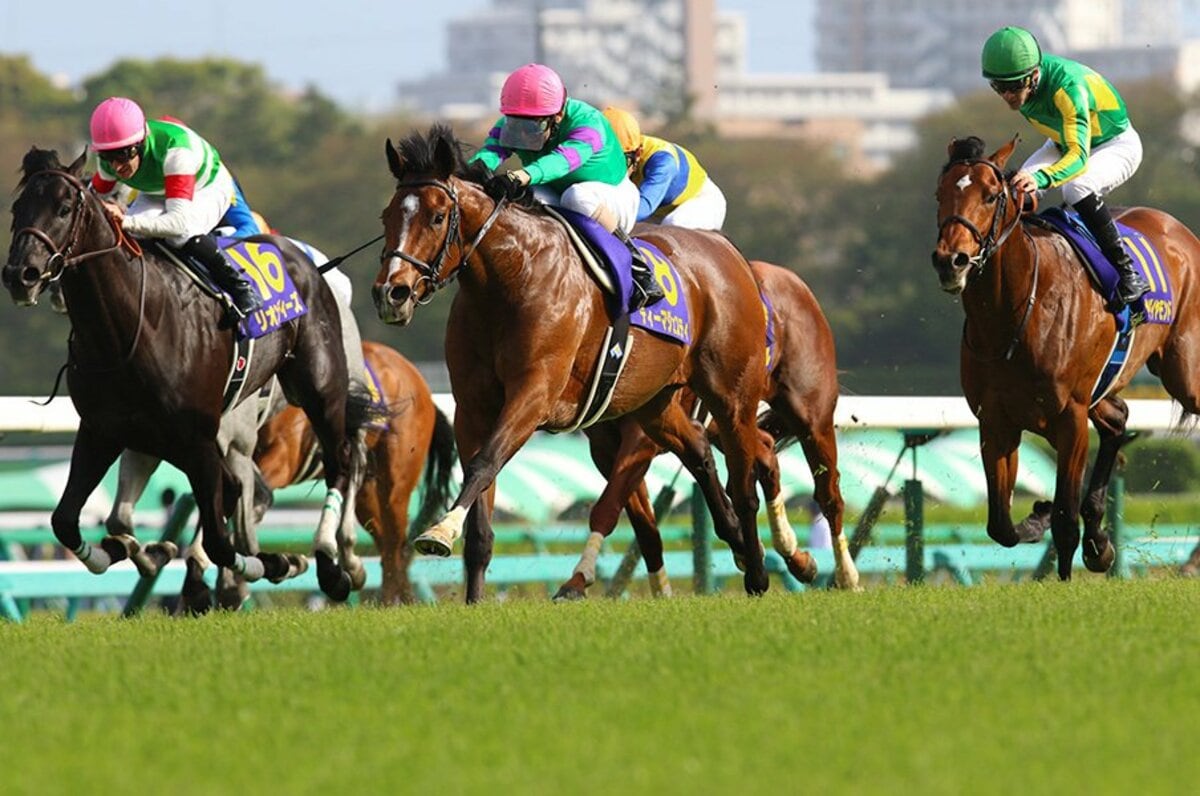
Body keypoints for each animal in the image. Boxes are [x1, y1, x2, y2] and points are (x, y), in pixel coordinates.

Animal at [3, 147, 369, 601]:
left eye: (64, 207)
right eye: (17, 207)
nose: (21, 275)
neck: (129, 328)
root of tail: (305, 259)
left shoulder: (200, 440)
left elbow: (220, 538)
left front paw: (272, 563)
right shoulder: (107, 430)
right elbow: (68, 521)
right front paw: (135, 551)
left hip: (318, 387)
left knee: (343, 461)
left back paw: (332, 562)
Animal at [255, 339, 456, 605]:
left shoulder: (283, 458)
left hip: (395, 484)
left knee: (395, 544)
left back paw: (389, 600)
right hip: (367, 493)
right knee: (386, 544)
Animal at [372, 124, 771, 602]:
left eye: (435, 217)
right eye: (386, 217)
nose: (391, 293)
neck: (510, 278)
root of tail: (722, 247)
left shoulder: (535, 393)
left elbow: (486, 463)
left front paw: (440, 530)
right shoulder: (473, 407)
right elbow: (480, 502)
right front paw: (472, 598)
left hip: (732, 394)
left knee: (744, 481)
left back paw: (757, 572)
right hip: (652, 401)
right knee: (697, 447)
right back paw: (737, 542)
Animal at [555, 260, 860, 598]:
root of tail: (795, 283)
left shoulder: (640, 438)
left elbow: (609, 505)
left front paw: (576, 581)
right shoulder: (604, 449)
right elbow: (645, 530)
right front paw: (660, 592)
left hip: (810, 415)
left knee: (829, 495)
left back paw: (846, 575)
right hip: (730, 424)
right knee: (766, 452)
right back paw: (793, 554)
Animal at [932, 135, 1200, 580]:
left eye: (990, 195)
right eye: (940, 194)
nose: (950, 261)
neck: (1014, 315)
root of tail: (1182, 232)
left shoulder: (1070, 418)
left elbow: (1064, 521)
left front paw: (1065, 577)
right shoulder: (996, 421)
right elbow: (1000, 525)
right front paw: (1042, 519)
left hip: (1184, 372)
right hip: (1105, 383)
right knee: (1118, 419)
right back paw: (1099, 538)